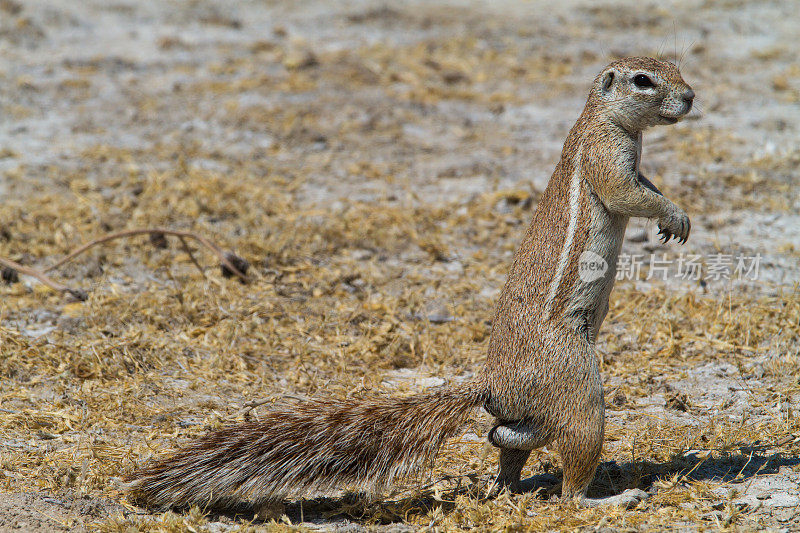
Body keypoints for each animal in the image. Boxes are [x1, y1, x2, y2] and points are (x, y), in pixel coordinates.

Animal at [123, 56, 692, 510]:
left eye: (675, 67)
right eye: (643, 80)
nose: (690, 97)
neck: (605, 118)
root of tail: (492, 384)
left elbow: (645, 185)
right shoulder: (605, 155)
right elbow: (627, 193)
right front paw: (674, 215)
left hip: (534, 410)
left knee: (506, 437)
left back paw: (509, 485)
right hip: (577, 386)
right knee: (570, 468)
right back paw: (609, 498)